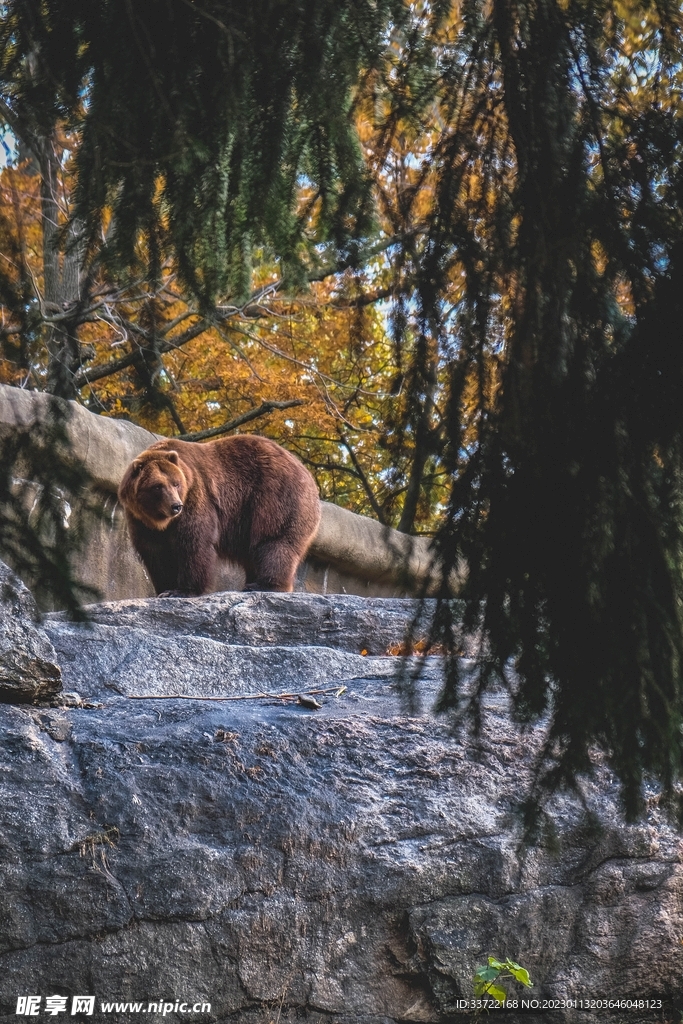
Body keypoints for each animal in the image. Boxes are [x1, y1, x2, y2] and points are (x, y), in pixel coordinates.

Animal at [117, 434, 321, 596]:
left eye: (176, 483)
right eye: (158, 486)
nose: (176, 506)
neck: (159, 520)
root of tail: (307, 474)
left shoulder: (196, 497)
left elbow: (194, 542)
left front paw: (182, 590)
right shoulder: (140, 521)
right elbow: (156, 553)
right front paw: (164, 589)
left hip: (275, 496)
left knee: (273, 540)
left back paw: (264, 585)